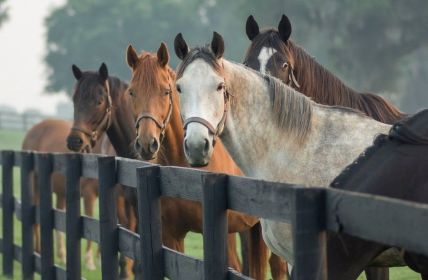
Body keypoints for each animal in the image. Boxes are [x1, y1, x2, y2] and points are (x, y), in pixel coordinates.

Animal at [22, 118, 125, 272]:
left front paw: (100, 258)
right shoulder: (89, 195)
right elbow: (90, 221)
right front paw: (89, 261)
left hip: (61, 193)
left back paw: (62, 255)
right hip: (36, 186)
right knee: (36, 219)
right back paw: (38, 251)